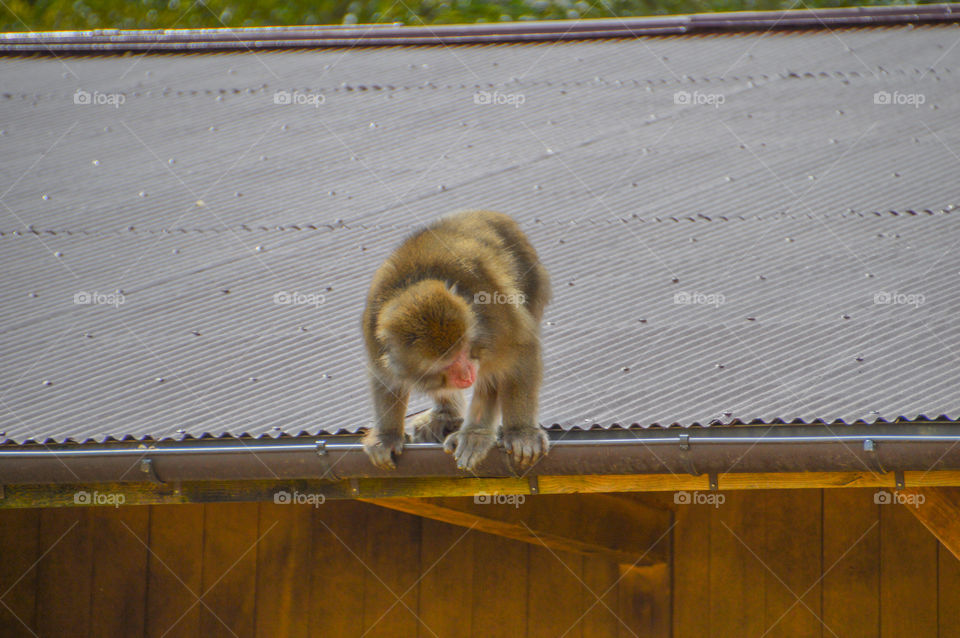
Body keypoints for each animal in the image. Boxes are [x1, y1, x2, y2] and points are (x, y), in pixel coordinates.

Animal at [361, 210, 551, 472]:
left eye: (464, 351)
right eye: (448, 364)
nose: (467, 374)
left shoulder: (495, 322)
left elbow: (521, 352)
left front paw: (521, 432)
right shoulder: (375, 339)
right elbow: (385, 380)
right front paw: (387, 435)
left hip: (532, 279)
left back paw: (476, 433)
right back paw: (446, 415)